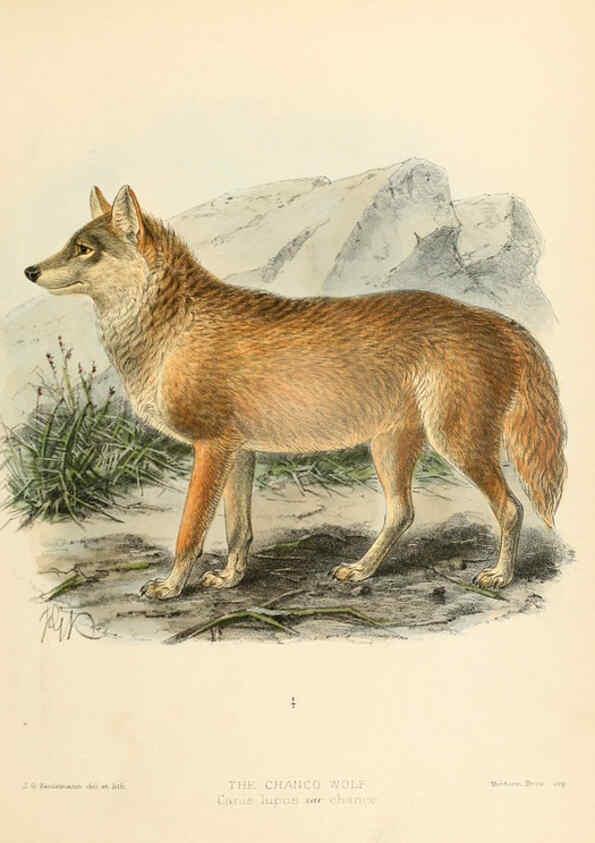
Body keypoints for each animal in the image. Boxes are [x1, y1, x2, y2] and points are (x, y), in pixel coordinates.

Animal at [24, 185, 567, 600]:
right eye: (71, 243)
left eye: (85, 249)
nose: (29, 271)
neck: (176, 326)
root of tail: (495, 321)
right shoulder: (237, 453)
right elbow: (237, 530)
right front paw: (230, 579)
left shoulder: (210, 449)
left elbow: (188, 533)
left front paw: (172, 587)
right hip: (391, 446)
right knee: (402, 513)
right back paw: (362, 570)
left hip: (457, 443)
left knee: (511, 508)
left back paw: (500, 576)